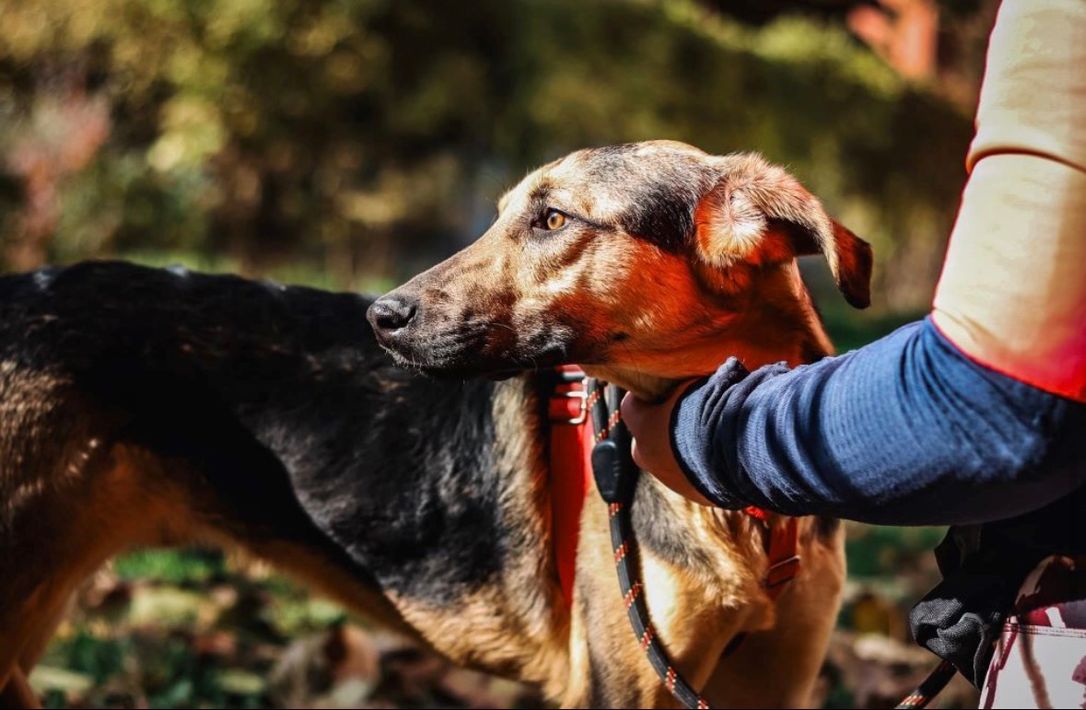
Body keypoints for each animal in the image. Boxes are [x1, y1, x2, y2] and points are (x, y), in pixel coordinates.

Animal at [0, 140, 870, 708]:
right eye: (508, 214)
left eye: (553, 220)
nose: (380, 319)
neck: (738, 499)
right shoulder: (626, 684)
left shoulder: (773, 683)